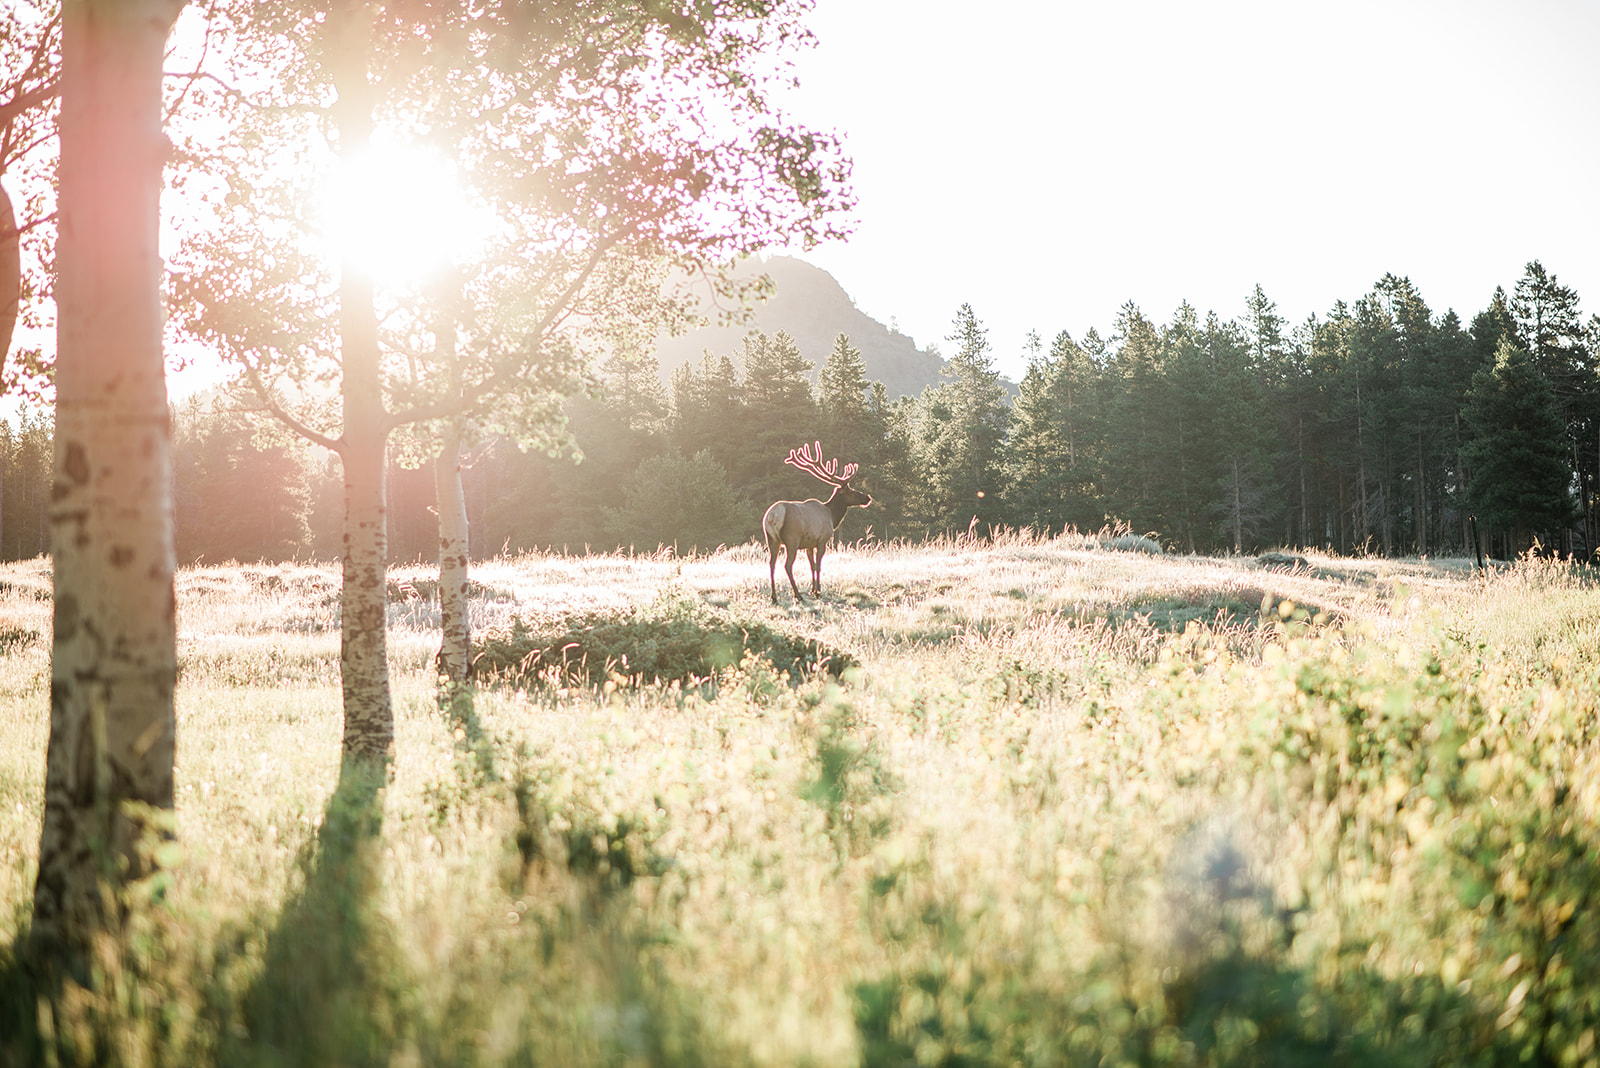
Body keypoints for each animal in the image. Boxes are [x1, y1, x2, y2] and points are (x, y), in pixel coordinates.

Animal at [763, 440, 872, 605]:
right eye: (851, 491)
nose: (867, 498)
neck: (832, 517)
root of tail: (774, 514)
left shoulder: (809, 544)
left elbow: (812, 565)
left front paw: (813, 589)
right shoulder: (822, 540)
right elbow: (819, 565)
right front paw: (818, 592)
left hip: (771, 539)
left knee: (771, 564)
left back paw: (774, 597)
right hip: (791, 539)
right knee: (787, 565)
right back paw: (797, 595)